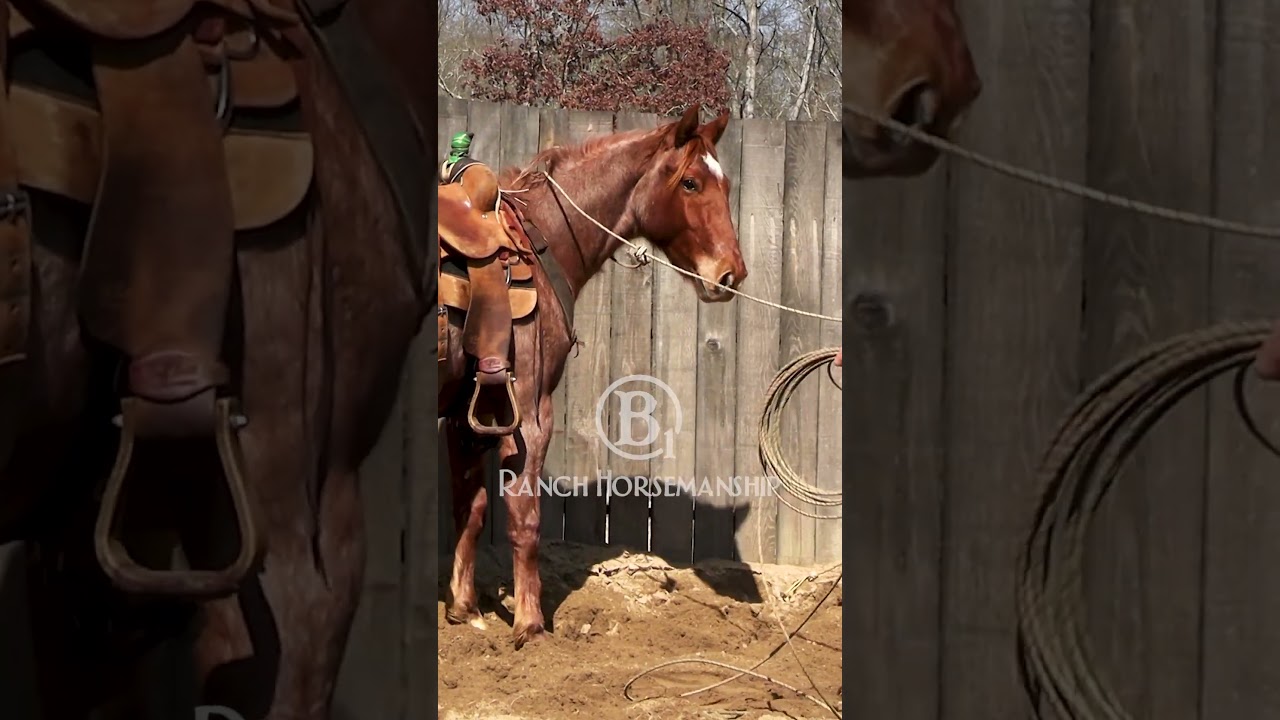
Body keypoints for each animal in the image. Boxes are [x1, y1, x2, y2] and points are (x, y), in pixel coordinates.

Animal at [437, 106, 747, 649]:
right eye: (690, 182)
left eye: (724, 183)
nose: (731, 274)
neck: (537, 242)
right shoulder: (528, 412)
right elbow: (524, 516)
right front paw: (530, 624)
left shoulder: (465, 415)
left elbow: (470, 510)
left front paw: (465, 609)